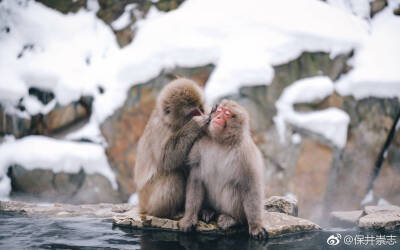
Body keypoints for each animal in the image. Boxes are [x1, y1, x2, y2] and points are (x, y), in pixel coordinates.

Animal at [135, 78, 209, 219]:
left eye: (200, 108)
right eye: (193, 112)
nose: (203, 114)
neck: (174, 124)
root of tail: (141, 205)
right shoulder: (160, 128)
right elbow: (166, 158)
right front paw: (196, 124)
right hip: (149, 200)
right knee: (174, 175)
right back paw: (170, 213)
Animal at [177, 98, 266, 239]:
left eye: (227, 114)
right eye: (219, 111)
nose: (218, 117)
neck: (221, 142)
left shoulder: (246, 154)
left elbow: (251, 186)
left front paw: (255, 226)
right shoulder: (198, 147)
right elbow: (196, 178)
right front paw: (189, 218)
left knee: (232, 189)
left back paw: (232, 219)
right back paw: (208, 211)